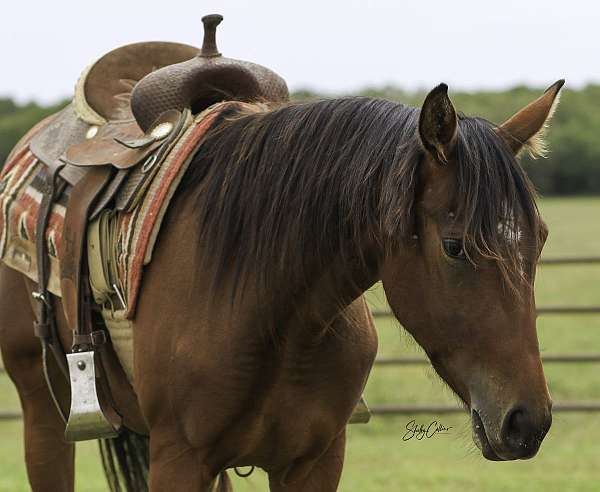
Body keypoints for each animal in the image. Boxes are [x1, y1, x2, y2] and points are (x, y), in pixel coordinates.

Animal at [0, 80, 564, 488]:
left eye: (539, 239)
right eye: (453, 246)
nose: (526, 422)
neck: (272, 309)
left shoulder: (314, 461)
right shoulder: (179, 459)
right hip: (43, 409)